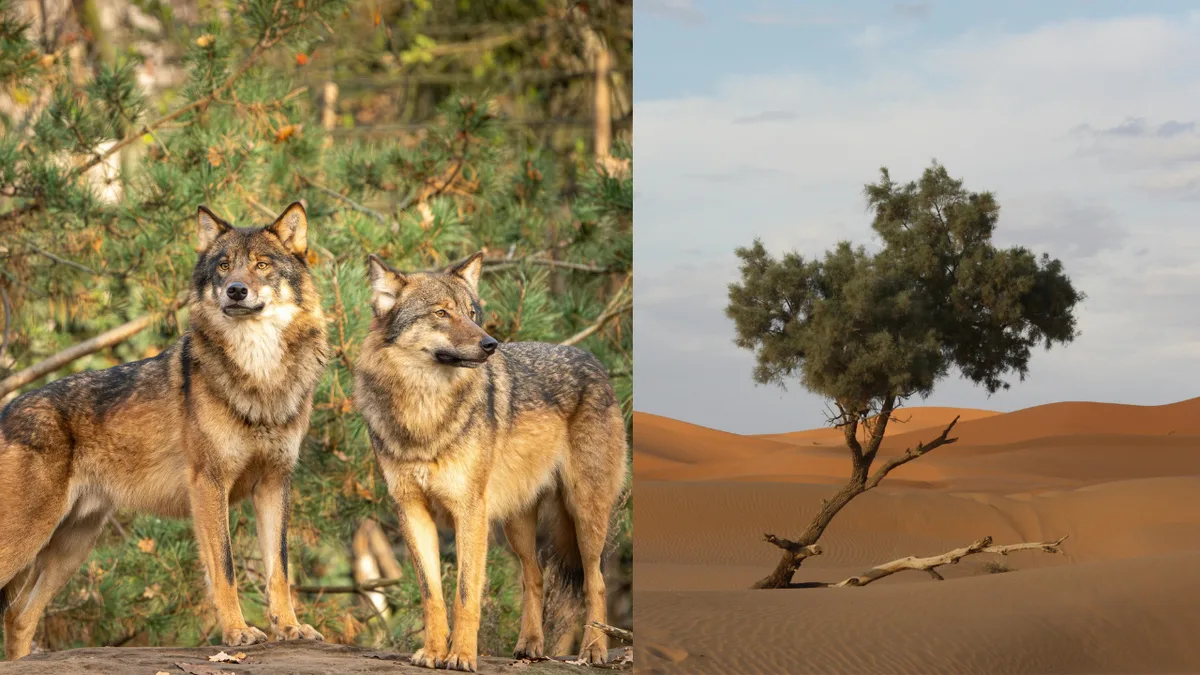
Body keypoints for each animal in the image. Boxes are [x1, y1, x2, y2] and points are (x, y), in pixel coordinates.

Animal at [0, 203, 329, 660]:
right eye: (224, 266)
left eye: (262, 265)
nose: (236, 291)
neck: (260, 376)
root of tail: (8, 408)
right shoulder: (209, 485)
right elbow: (225, 567)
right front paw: (237, 633)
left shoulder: (274, 483)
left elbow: (278, 567)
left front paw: (291, 628)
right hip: (30, 538)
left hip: (71, 548)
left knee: (19, 616)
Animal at [353, 252, 627, 671]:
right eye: (441, 313)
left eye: (471, 312)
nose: (490, 344)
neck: (424, 413)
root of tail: (594, 361)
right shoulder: (412, 511)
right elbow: (432, 594)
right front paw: (433, 653)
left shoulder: (469, 512)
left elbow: (466, 594)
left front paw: (462, 656)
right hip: (516, 523)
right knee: (534, 576)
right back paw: (530, 646)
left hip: (584, 512)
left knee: (595, 580)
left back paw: (594, 649)